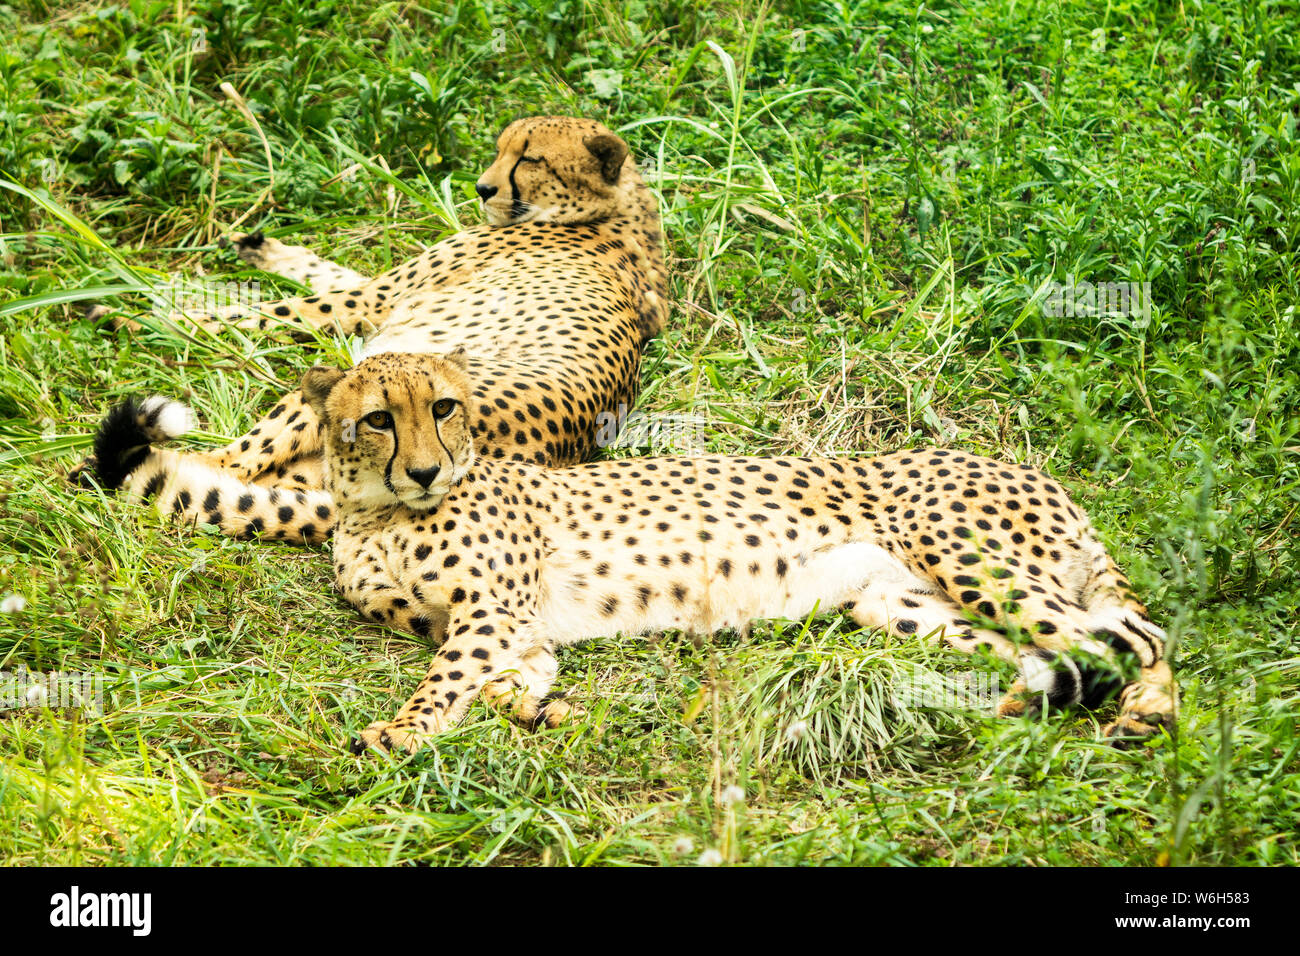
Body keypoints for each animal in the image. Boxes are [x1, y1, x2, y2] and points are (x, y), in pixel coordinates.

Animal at [78, 115, 670, 541]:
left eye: (529, 157)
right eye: (501, 149)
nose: (481, 188)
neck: (616, 209)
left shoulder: (378, 299)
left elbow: (277, 308)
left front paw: (146, 313)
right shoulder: (384, 292)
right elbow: (324, 270)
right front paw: (258, 247)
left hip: (350, 382)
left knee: (223, 464)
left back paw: (87, 468)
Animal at [94, 351, 1180, 754]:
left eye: (442, 407)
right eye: (375, 419)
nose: (426, 469)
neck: (379, 515)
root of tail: (1025, 468)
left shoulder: (486, 612)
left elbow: (441, 682)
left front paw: (398, 735)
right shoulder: (510, 626)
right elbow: (503, 679)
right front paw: (540, 709)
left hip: (972, 558)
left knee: (1131, 633)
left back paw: (1145, 710)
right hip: (898, 603)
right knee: (1066, 647)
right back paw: (1030, 703)